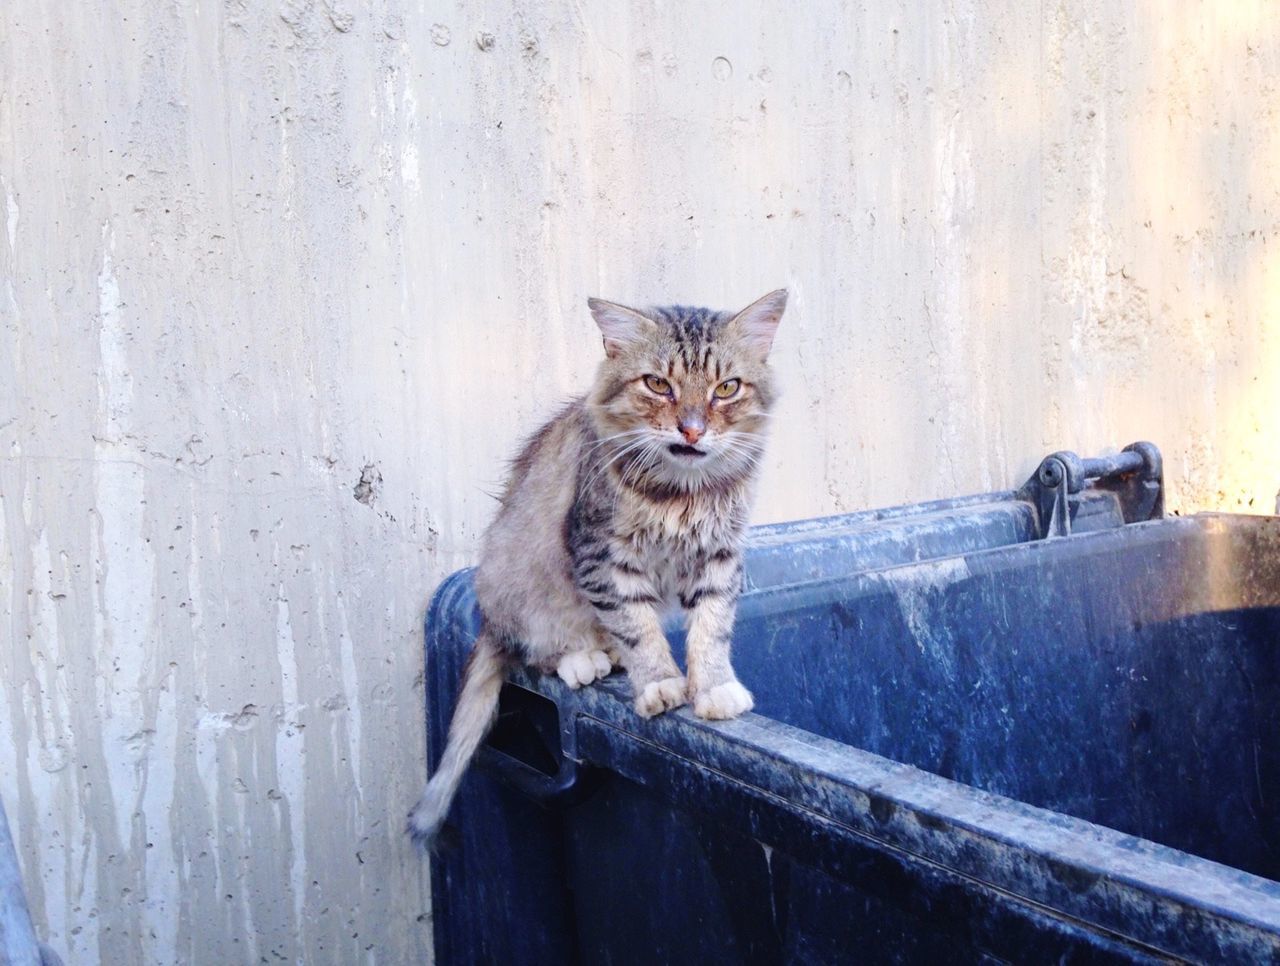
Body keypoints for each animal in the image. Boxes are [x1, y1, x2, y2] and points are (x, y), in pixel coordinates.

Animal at [409, 286, 788, 844]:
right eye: (658, 384)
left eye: (726, 388)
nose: (692, 430)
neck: (682, 492)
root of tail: (487, 619)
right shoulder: (601, 555)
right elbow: (638, 627)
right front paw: (659, 683)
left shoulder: (718, 556)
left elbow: (711, 628)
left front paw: (713, 687)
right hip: (517, 584)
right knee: (534, 651)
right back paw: (582, 658)